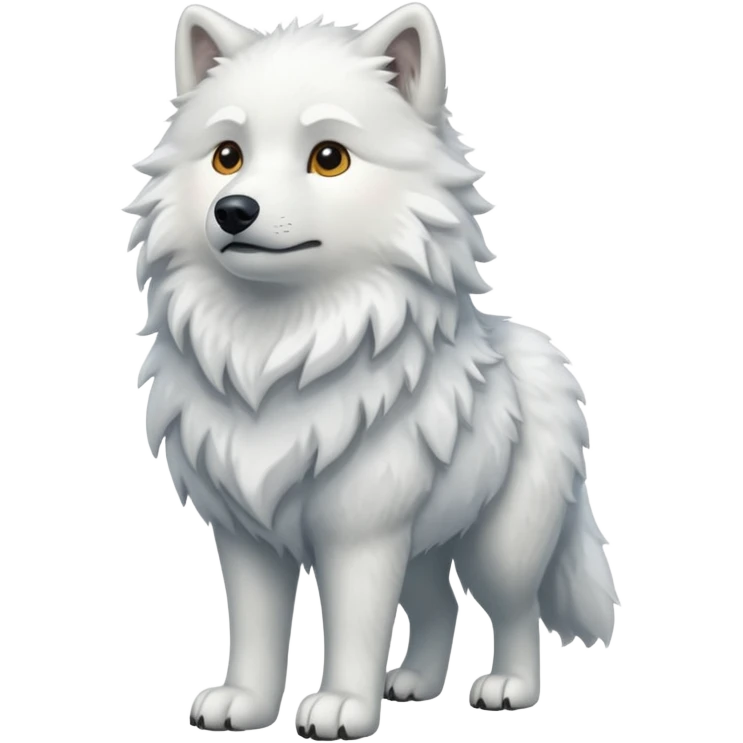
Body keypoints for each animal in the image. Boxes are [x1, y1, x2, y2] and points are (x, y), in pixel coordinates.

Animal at [127, 3, 619, 737]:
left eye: (328, 157)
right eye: (226, 156)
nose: (233, 210)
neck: (279, 351)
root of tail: (543, 353)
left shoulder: (361, 533)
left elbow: (356, 626)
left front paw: (341, 708)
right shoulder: (246, 535)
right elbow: (256, 629)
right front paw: (244, 703)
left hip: (497, 546)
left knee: (515, 610)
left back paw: (507, 687)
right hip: (424, 548)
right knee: (440, 605)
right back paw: (413, 684)